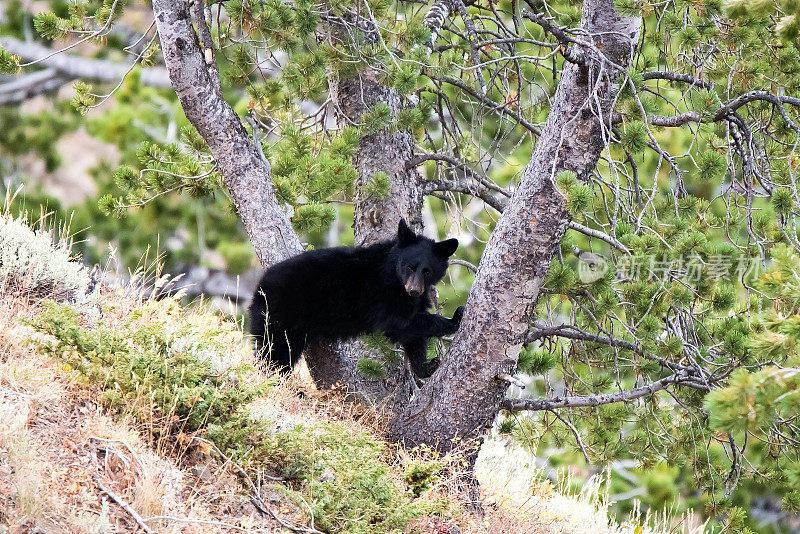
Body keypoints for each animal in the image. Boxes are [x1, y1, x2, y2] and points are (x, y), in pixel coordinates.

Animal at [248, 220, 462, 378]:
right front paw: (455, 318)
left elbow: (413, 336)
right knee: (275, 352)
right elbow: (400, 323)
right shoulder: (384, 296)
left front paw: (426, 367)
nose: (414, 290)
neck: (394, 277)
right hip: (279, 314)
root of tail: (260, 285)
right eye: (409, 266)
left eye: (427, 271)